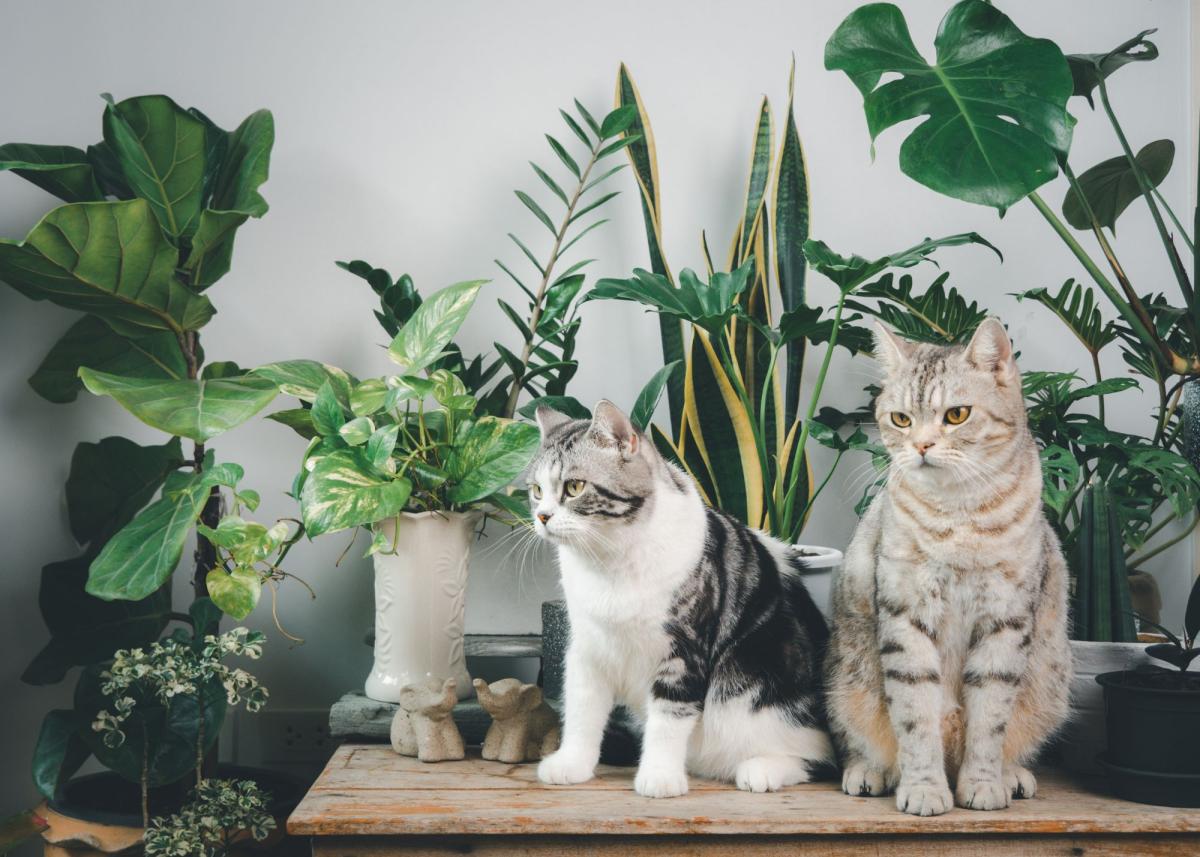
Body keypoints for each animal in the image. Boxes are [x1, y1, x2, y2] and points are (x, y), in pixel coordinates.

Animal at [535, 400, 835, 792]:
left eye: (574, 486)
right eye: (536, 490)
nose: (541, 516)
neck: (609, 562)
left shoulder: (684, 652)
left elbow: (668, 719)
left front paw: (660, 777)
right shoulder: (587, 647)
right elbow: (581, 710)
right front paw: (571, 764)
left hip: (759, 699)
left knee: (817, 760)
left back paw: (762, 769)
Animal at [825, 319, 1070, 816]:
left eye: (956, 415)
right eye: (901, 419)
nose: (921, 445)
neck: (959, 516)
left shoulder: (1005, 620)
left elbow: (990, 718)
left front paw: (983, 784)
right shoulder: (906, 615)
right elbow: (915, 717)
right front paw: (923, 789)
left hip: (1051, 684)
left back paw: (1011, 775)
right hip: (846, 679)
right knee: (858, 736)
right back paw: (870, 771)